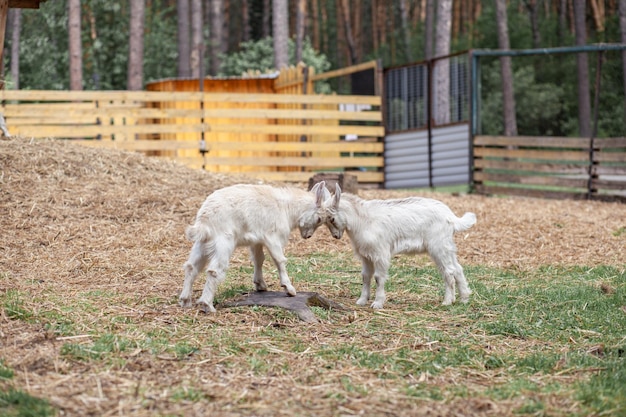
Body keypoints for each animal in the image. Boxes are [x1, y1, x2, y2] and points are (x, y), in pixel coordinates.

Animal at [179, 180, 330, 310]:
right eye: (319, 219)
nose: (308, 236)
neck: (286, 208)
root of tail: (205, 220)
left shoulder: (257, 241)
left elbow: (259, 260)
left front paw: (260, 285)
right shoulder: (273, 238)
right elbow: (280, 260)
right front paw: (289, 289)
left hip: (202, 243)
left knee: (191, 267)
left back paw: (185, 301)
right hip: (223, 243)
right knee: (214, 271)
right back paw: (207, 305)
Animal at [320, 185, 476, 308]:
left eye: (332, 219)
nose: (335, 236)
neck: (362, 220)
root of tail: (451, 217)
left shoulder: (380, 253)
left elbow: (378, 277)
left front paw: (377, 303)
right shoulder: (366, 255)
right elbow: (365, 276)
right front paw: (362, 300)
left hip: (438, 246)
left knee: (448, 272)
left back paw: (447, 301)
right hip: (447, 246)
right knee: (457, 269)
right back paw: (464, 298)